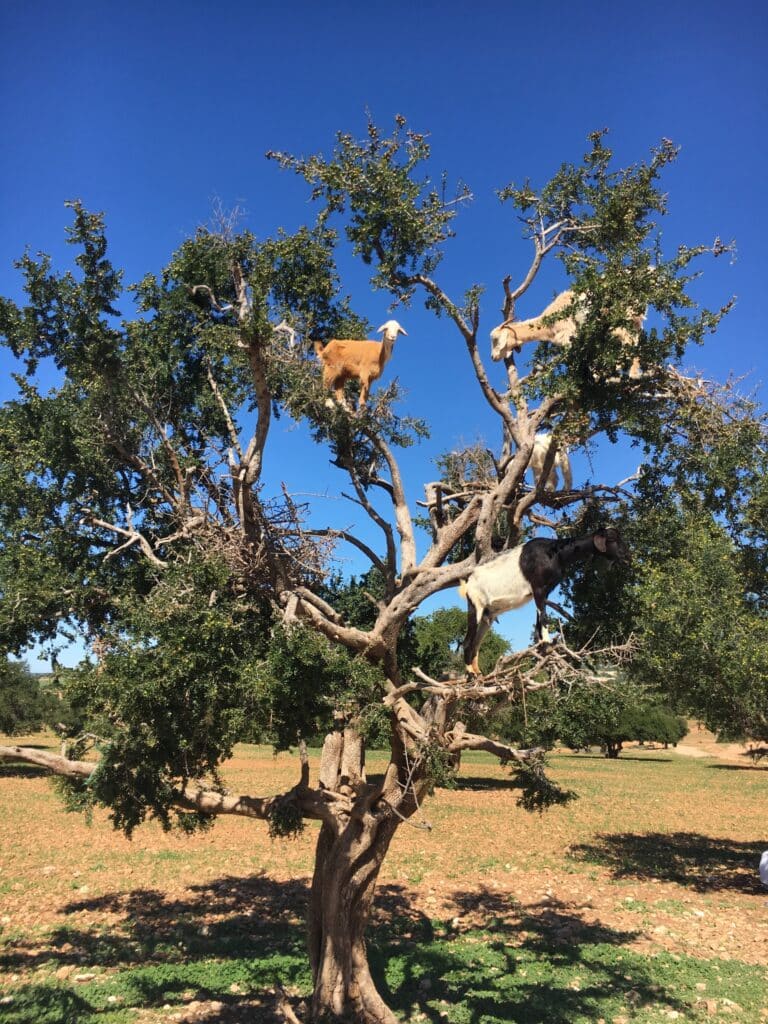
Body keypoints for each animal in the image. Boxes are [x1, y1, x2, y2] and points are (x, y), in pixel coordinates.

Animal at [460, 527, 630, 674]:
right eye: (612, 539)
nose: (626, 555)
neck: (556, 553)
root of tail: (468, 583)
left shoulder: (545, 592)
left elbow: (539, 619)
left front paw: (542, 646)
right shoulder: (538, 588)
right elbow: (544, 617)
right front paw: (547, 644)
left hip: (487, 615)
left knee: (476, 644)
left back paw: (478, 673)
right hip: (476, 605)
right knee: (468, 642)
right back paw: (471, 674)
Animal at [490, 289, 645, 379]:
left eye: (496, 339)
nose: (493, 357)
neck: (547, 324)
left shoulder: (568, 334)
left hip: (620, 319)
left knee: (629, 341)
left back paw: (629, 373)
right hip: (634, 320)